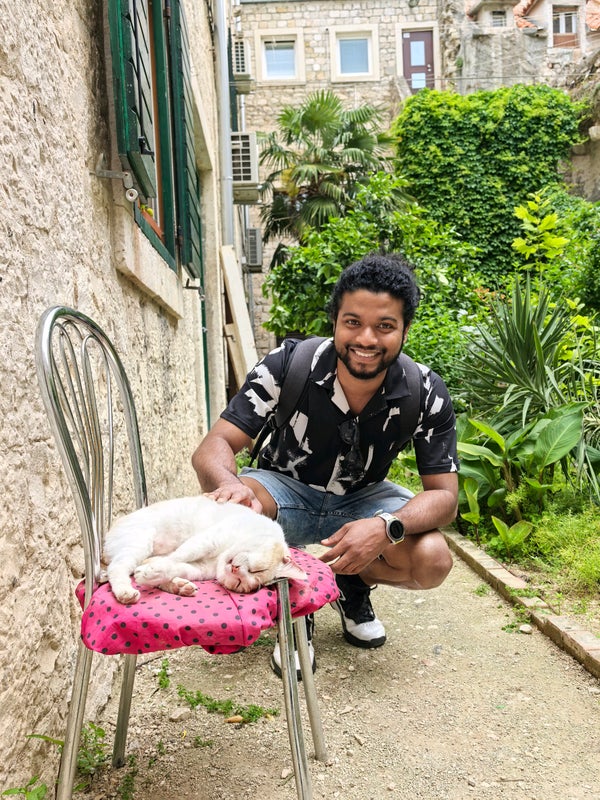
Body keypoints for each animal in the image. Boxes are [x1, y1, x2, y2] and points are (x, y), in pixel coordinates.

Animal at [103, 495, 307, 604]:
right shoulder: (207, 540)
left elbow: (174, 566)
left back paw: (179, 586)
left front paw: (153, 573)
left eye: (240, 584)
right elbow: (175, 558)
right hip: (140, 542)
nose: (236, 570)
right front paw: (153, 570)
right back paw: (126, 592)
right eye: (258, 569)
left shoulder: (198, 568)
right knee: (117, 568)